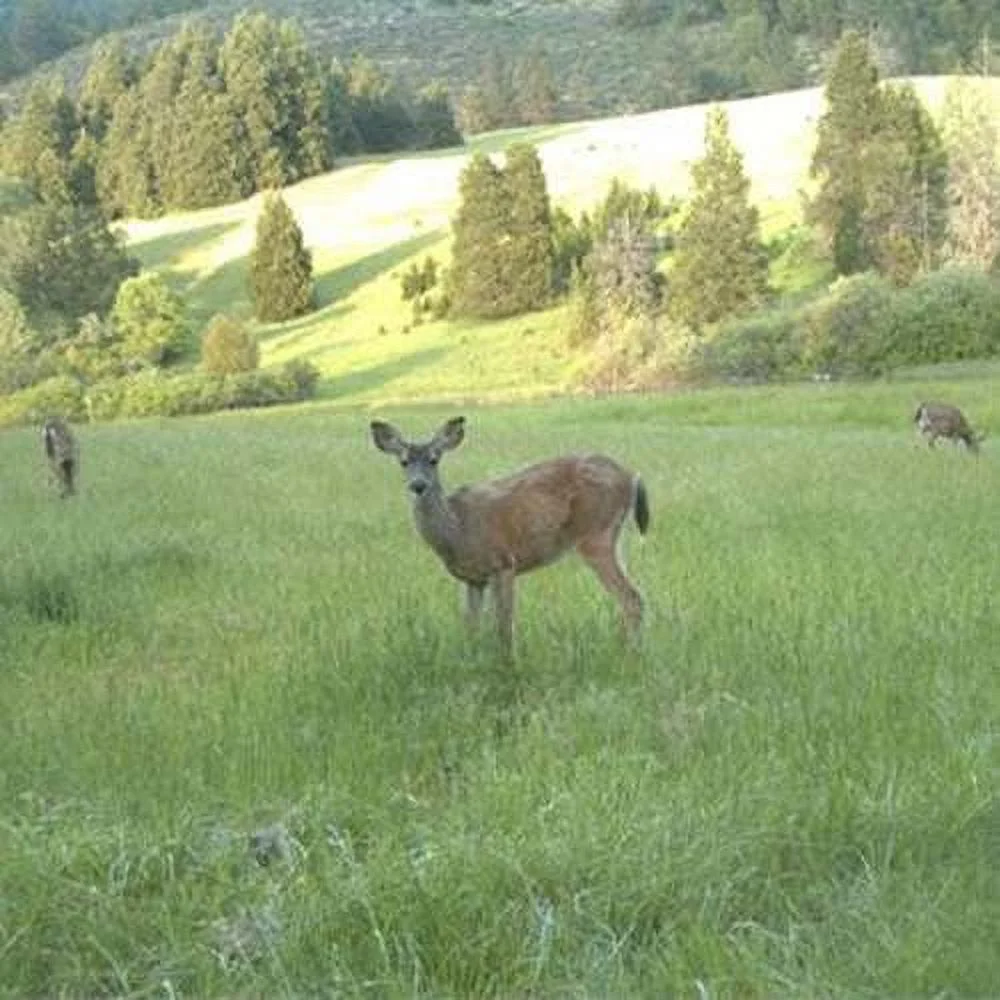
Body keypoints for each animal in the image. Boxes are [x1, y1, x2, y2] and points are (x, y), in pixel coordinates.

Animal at [370, 416, 649, 658]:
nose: (418, 486)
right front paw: (472, 659)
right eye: (403, 462)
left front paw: (508, 664)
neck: (458, 530)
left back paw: (629, 654)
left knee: (631, 598)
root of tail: (632, 475)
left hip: (596, 534)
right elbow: (471, 626)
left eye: (434, 459)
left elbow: (503, 626)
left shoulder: (503, 563)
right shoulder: (473, 580)